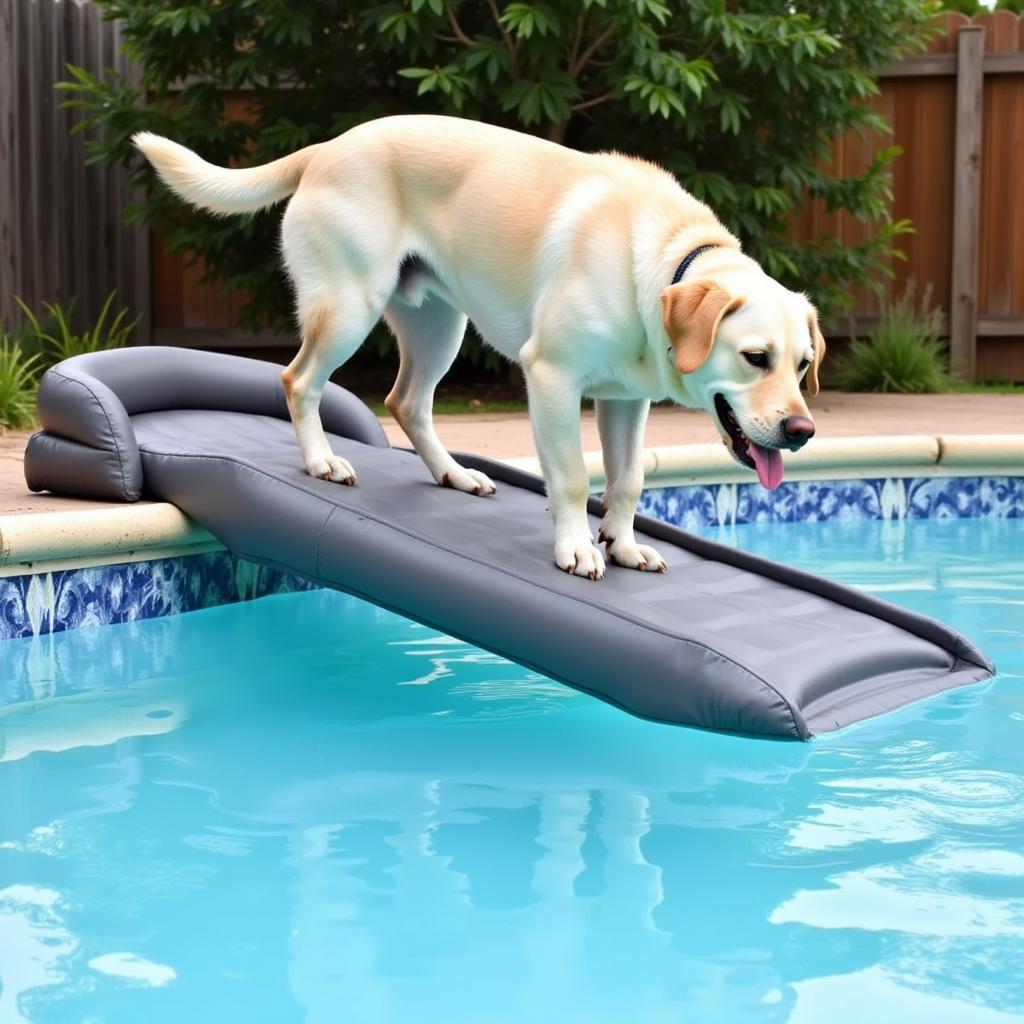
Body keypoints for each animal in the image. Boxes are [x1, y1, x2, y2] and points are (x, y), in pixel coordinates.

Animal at [136, 116, 823, 581]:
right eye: (755, 357)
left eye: (803, 366)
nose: (802, 431)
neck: (663, 260)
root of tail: (328, 147)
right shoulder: (551, 378)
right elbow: (573, 477)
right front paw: (577, 547)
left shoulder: (626, 401)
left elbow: (627, 480)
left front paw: (623, 545)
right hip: (350, 308)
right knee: (299, 381)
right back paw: (323, 462)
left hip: (441, 326)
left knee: (406, 401)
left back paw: (454, 474)